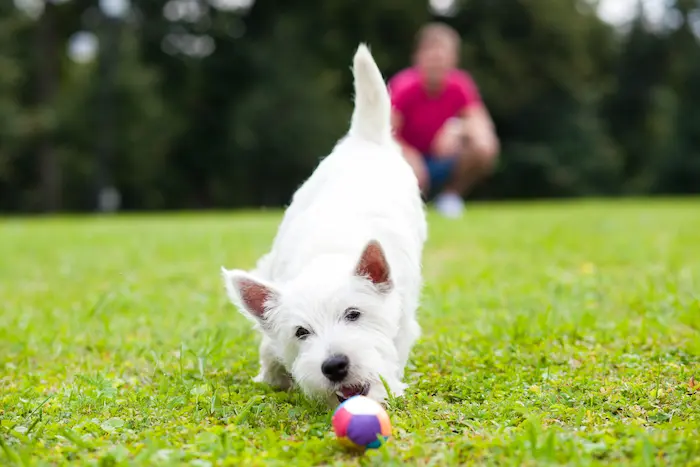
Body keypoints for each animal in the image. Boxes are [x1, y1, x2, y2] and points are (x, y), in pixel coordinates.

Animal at [221, 44, 426, 410]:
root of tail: (364, 139)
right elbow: (269, 346)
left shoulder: (403, 316)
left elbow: (395, 349)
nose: (334, 366)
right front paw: (273, 374)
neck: (328, 256)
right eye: (301, 332)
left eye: (354, 314)